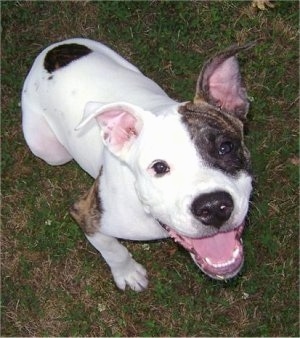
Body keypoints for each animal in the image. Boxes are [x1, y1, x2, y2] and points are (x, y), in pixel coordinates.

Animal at [22, 37, 254, 290]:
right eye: (159, 167)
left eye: (226, 147)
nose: (213, 207)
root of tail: (53, 51)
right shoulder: (86, 214)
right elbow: (113, 250)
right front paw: (128, 273)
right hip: (50, 151)